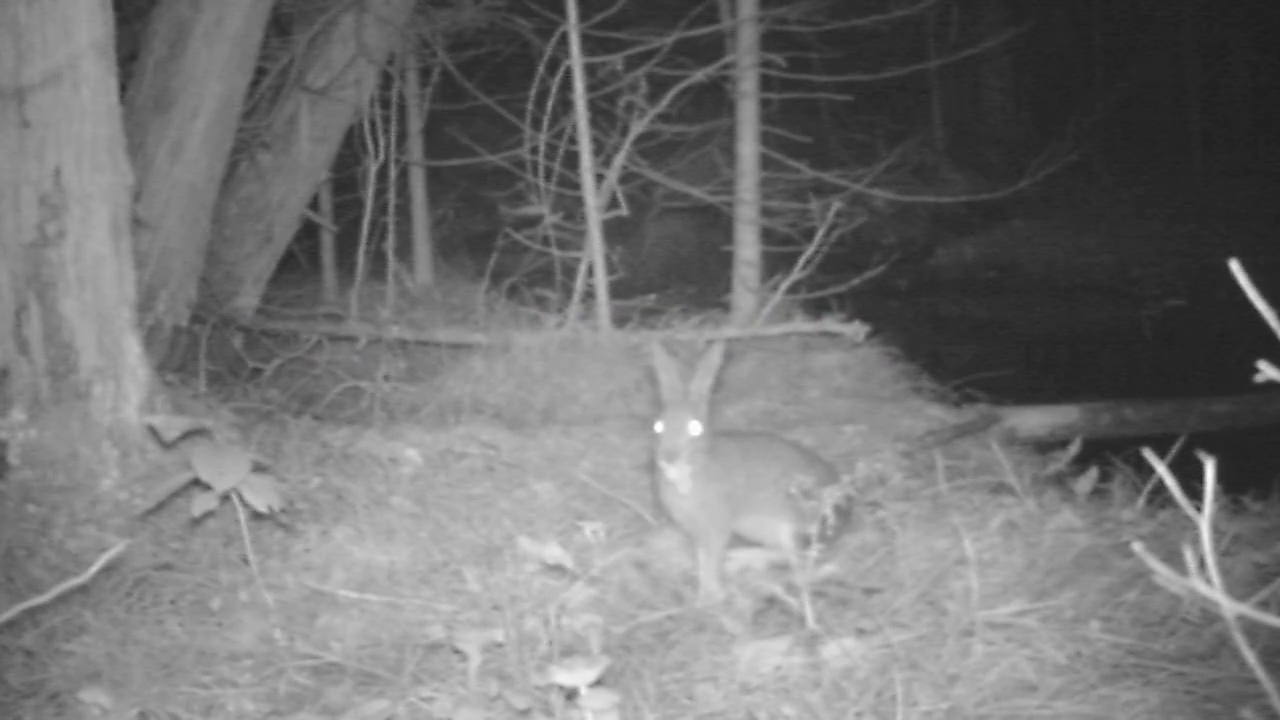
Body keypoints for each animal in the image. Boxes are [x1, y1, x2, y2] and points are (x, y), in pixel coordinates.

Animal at [648, 340, 854, 605]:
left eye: (695, 428)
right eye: (658, 426)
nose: (668, 457)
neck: (690, 470)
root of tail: (845, 512)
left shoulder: (716, 528)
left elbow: (710, 563)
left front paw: (708, 599)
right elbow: (703, 561)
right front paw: (706, 596)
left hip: (791, 526)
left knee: (804, 565)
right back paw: (740, 560)